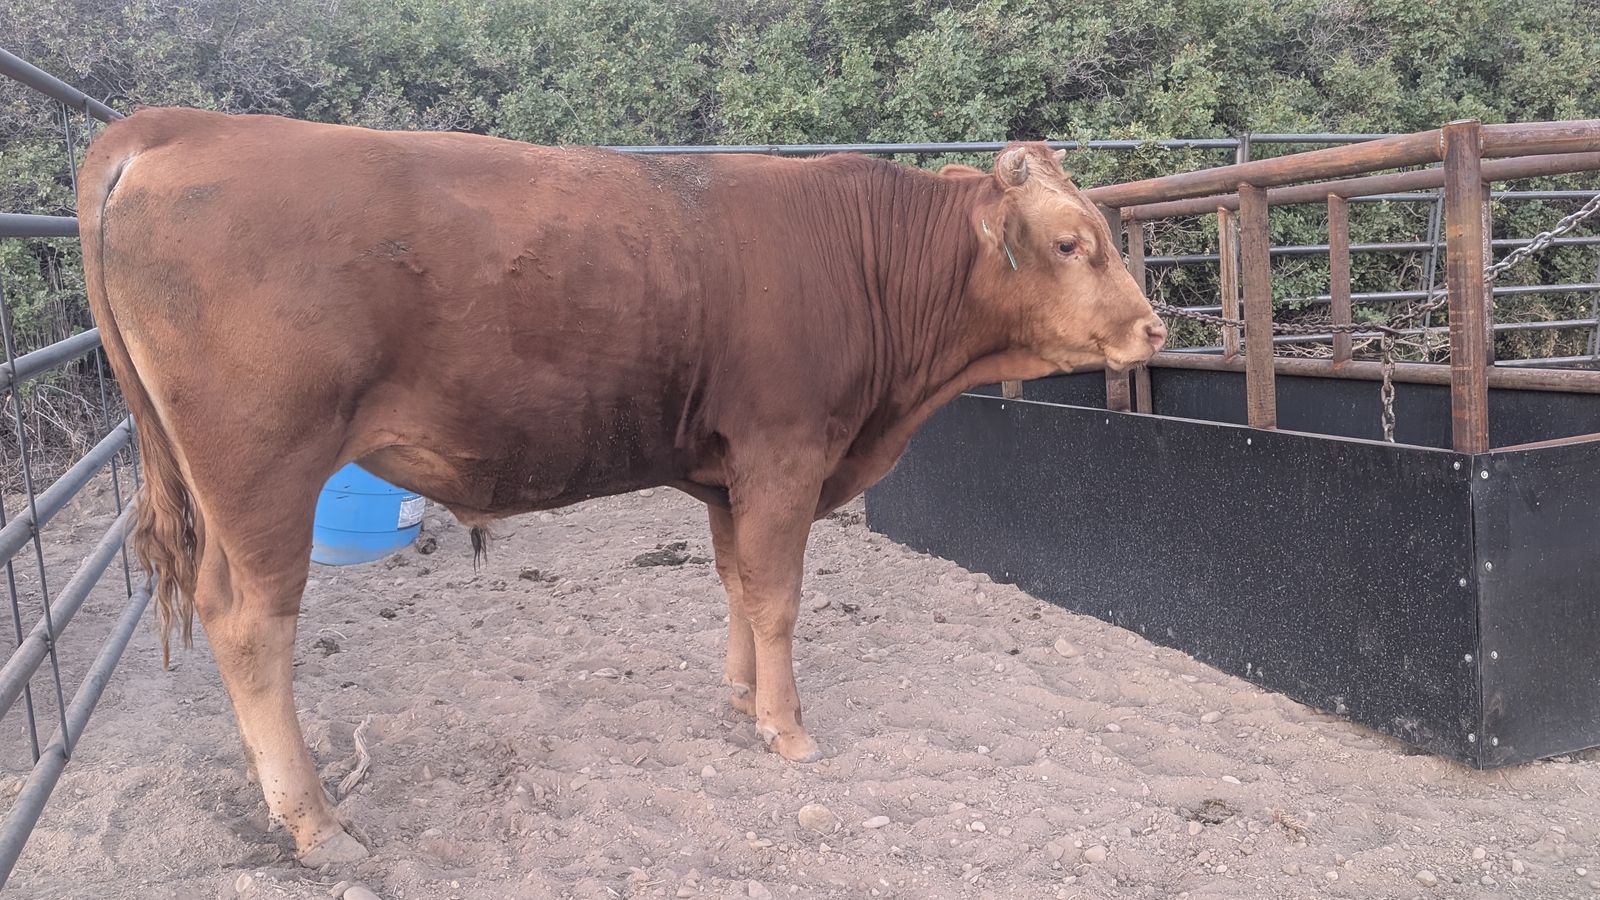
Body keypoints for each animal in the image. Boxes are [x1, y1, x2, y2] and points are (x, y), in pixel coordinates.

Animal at [76, 107, 1165, 865]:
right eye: (1070, 242)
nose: (1152, 327)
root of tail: (178, 124)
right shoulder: (783, 452)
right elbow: (778, 596)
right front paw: (786, 727)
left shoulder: (730, 472)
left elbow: (737, 584)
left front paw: (740, 696)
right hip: (264, 474)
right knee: (250, 623)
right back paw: (314, 821)